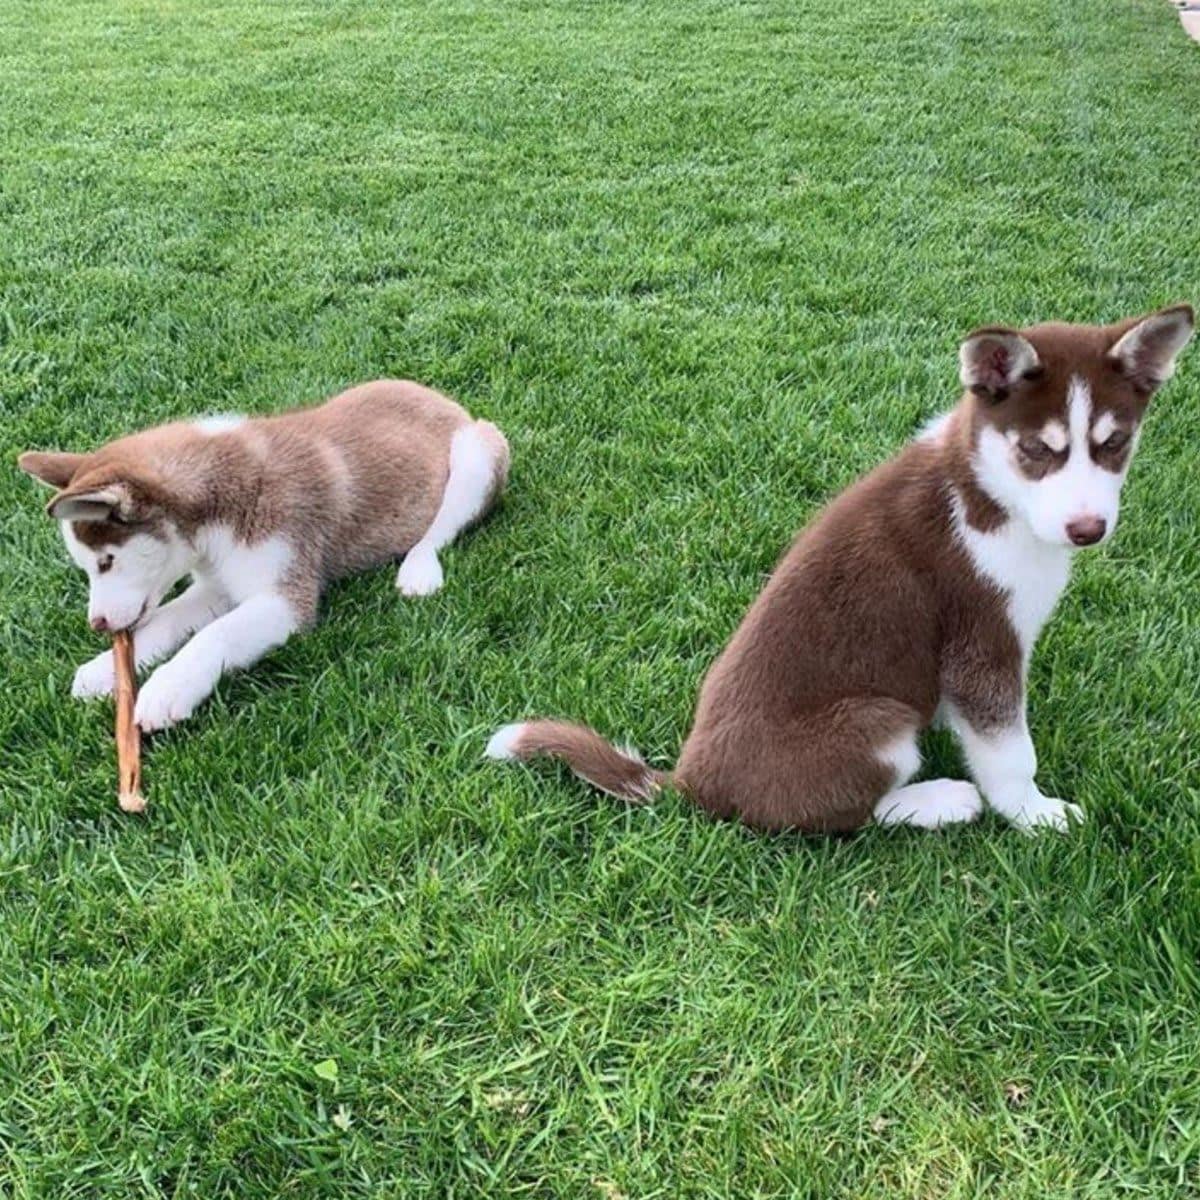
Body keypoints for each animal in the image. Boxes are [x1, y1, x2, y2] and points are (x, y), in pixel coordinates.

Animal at [19, 379, 506, 729]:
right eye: (88, 567)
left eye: (106, 562)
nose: (97, 624)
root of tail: (437, 396)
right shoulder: (216, 586)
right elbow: (163, 622)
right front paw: (105, 669)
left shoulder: (285, 598)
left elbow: (213, 636)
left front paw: (169, 687)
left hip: (480, 450)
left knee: (442, 527)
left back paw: (419, 570)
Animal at [492, 307, 1195, 835]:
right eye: (1036, 450)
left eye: (1114, 443)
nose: (1088, 529)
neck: (991, 494)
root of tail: (692, 782)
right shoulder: (981, 642)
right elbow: (1009, 752)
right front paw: (1036, 815)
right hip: (877, 724)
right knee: (846, 815)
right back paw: (942, 801)